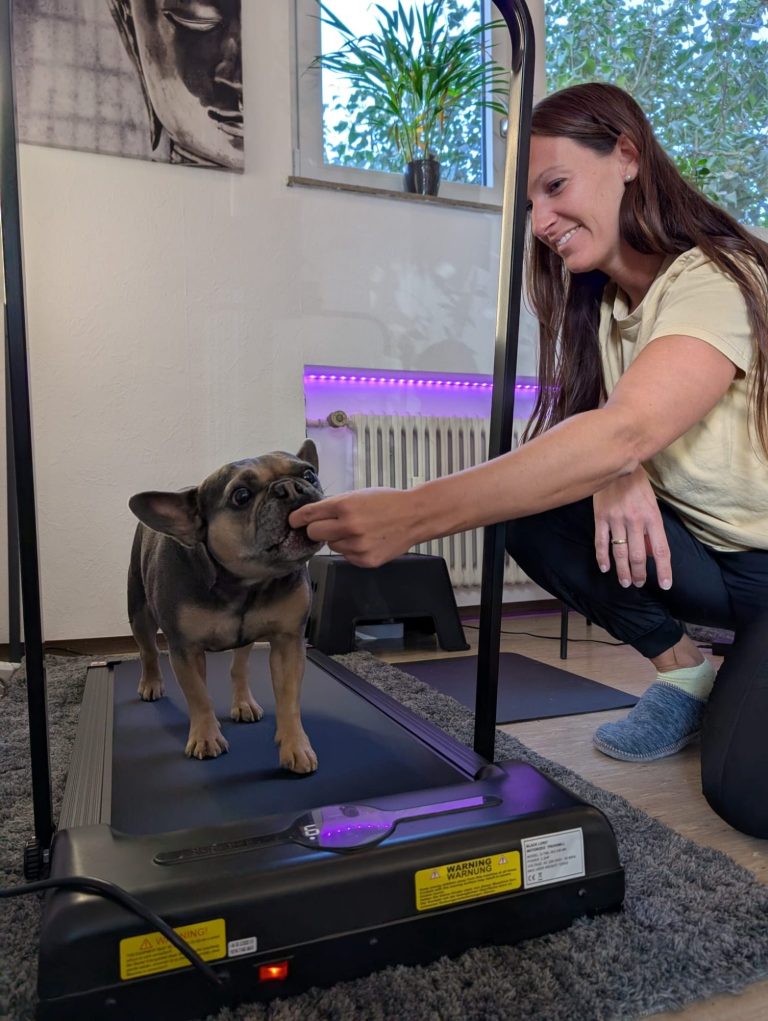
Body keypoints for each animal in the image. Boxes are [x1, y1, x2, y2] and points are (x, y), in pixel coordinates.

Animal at [127, 440, 323, 772]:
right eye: (241, 496)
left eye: (309, 475)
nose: (290, 488)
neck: (245, 583)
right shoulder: (185, 649)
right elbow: (199, 696)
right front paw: (206, 737)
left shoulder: (288, 642)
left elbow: (288, 700)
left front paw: (296, 746)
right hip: (139, 613)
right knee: (148, 651)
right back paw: (151, 682)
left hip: (245, 639)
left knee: (239, 667)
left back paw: (243, 702)